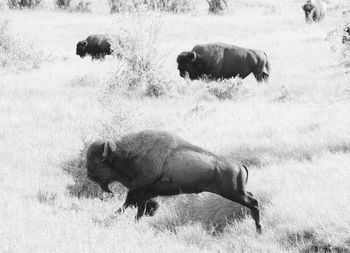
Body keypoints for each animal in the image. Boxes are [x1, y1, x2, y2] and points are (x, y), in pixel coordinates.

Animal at [85, 130, 262, 233]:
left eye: (97, 161)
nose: (88, 174)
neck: (125, 155)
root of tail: (239, 164)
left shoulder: (138, 192)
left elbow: (126, 205)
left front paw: (110, 218)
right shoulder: (144, 194)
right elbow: (140, 209)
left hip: (234, 193)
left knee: (253, 202)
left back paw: (259, 228)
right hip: (237, 192)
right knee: (252, 200)